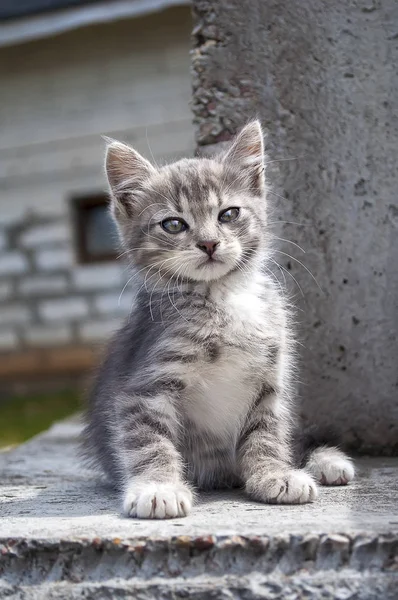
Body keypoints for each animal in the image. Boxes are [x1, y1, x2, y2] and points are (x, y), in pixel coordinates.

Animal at [84, 119, 354, 516]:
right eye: (173, 224)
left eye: (228, 214)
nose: (209, 243)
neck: (223, 298)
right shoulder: (143, 384)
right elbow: (148, 439)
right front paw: (158, 488)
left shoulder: (271, 379)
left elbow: (267, 433)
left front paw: (274, 473)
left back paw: (326, 462)